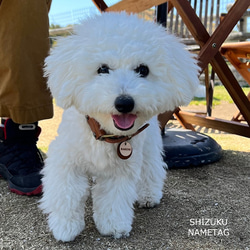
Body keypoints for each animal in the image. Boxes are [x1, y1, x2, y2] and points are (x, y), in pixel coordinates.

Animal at [39, 12, 199, 241]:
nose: (124, 102)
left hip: (149, 146)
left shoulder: (122, 169)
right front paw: (65, 227)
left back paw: (149, 195)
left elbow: (113, 197)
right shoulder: (66, 160)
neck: (104, 134)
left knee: (151, 169)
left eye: (143, 70)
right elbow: (66, 193)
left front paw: (114, 226)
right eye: (102, 69)